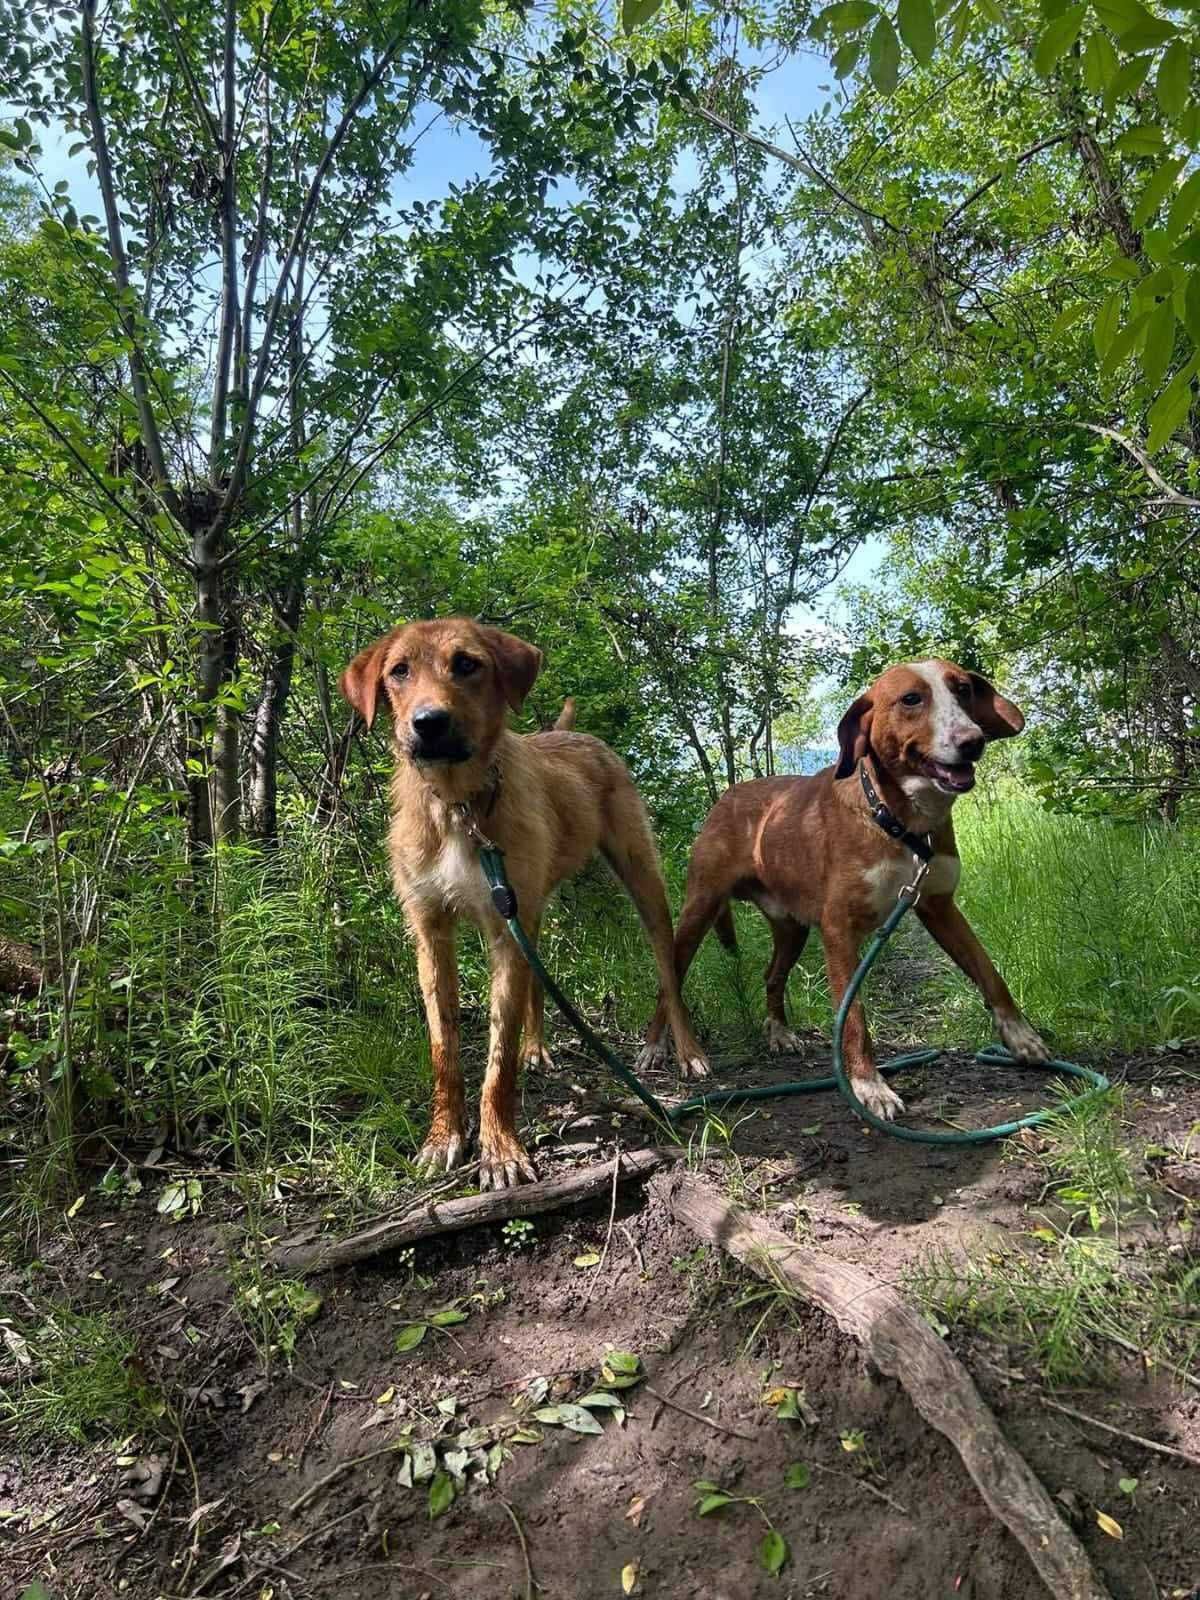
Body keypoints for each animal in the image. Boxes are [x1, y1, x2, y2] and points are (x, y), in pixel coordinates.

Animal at [339, 617, 710, 1196]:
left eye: (466, 664)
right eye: (398, 671)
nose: (428, 723)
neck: (459, 807)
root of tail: (577, 734)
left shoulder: (501, 931)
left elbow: (498, 1061)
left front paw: (501, 1151)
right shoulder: (432, 932)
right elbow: (445, 1049)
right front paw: (443, 1137)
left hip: (641, 880)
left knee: (668, 971)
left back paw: (681, 1048)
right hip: (531, 910)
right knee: (540, 978)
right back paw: (538, 1048)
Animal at [643, 656, 1049, 1120]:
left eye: (963, 690)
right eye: (911, 699)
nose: (972, 742)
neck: (898, 820)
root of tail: (728, 795)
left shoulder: (939, 906)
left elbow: (987, 970)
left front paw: (1020, 1035)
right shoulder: (839, 929)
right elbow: (852, 1017)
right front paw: (868, 1085)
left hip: (792, 928)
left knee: (771, 976)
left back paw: (779, 1033)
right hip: (700, 909)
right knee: (669, 981)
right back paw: (661, 1050)